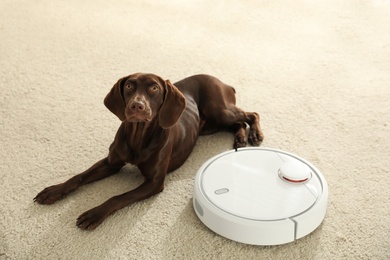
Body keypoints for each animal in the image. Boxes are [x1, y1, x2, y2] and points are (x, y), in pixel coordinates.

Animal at [34, 72, 266, 230]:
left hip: (219, 110)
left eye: (154, 88)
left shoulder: (154, 183)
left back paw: (254, 135)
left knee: (251, 114)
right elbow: (79, 177)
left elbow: (117, 197)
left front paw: (94, 213)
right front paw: (54, 190)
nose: (137, 106)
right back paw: (240, 138)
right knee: (238, 123)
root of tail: (223, 82)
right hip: (211, 125)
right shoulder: (110, 163)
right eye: (129, 85)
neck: (138, 136)